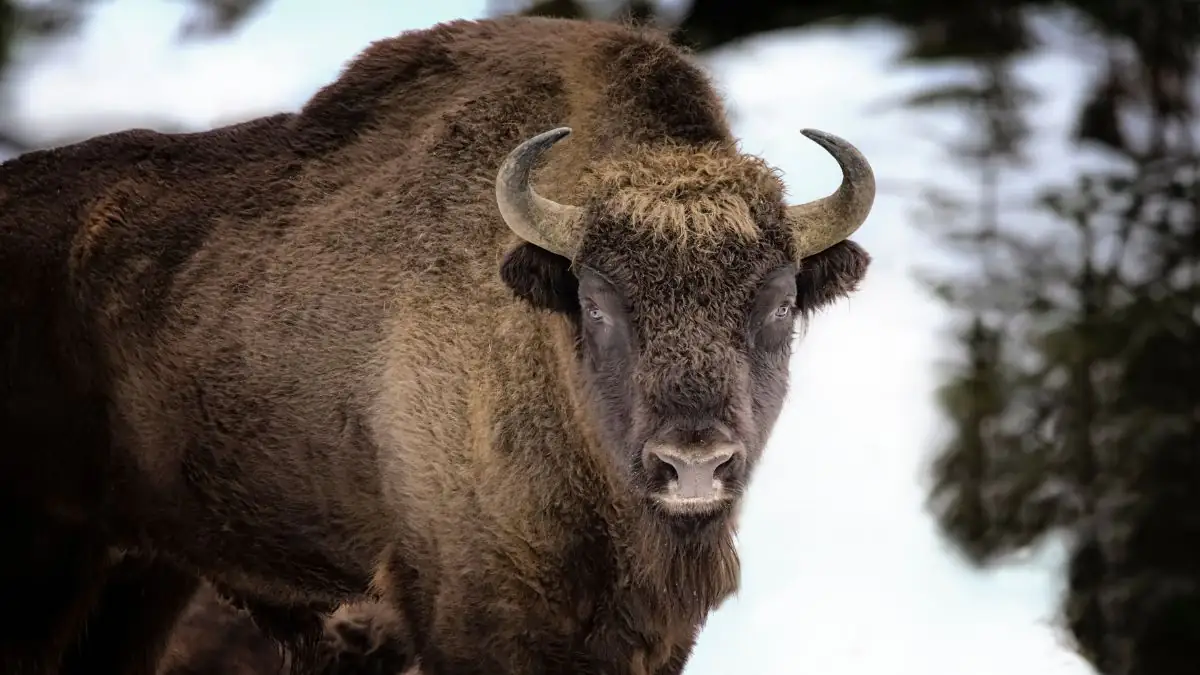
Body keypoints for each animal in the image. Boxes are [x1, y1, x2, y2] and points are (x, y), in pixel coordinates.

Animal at [0, 15, 875, 675]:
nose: (693, 462)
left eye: (779, 301)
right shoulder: (472, 616)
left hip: (145, 567)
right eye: (595, 302)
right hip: (52, 552)